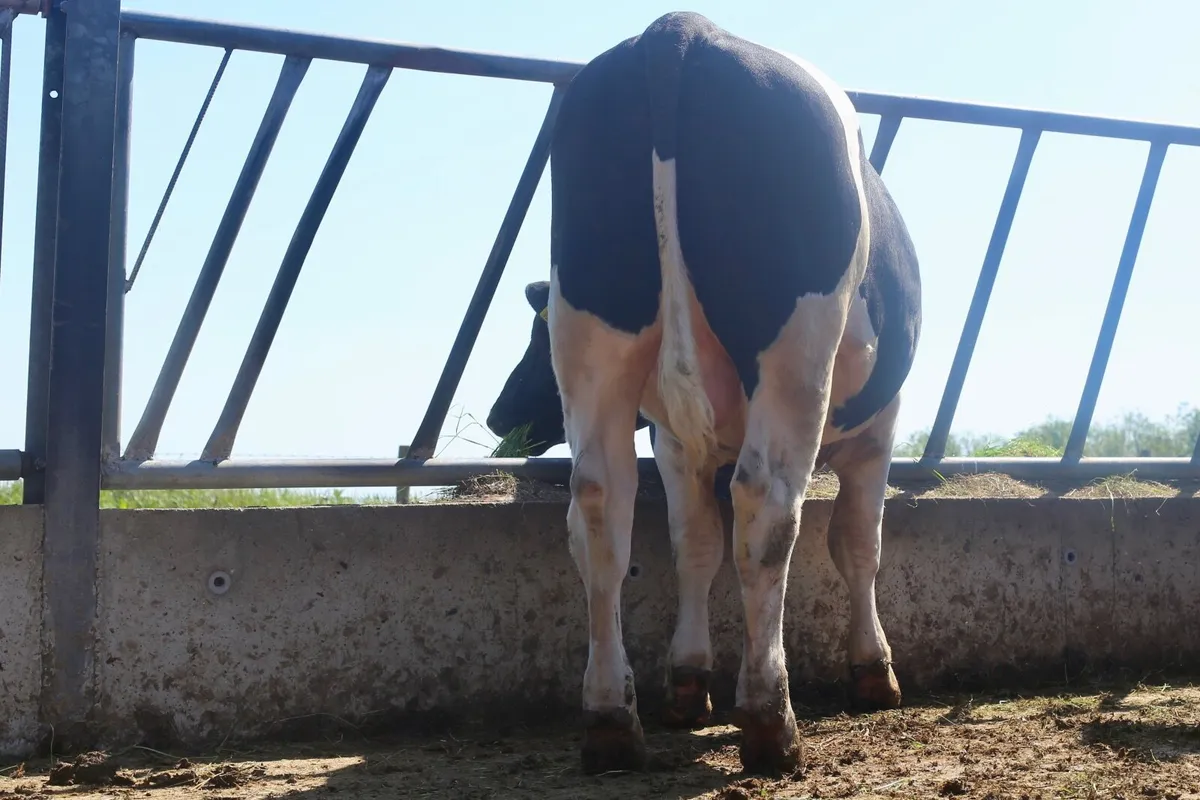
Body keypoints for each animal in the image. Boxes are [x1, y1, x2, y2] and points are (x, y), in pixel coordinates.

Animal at [486, 11, 921, 776]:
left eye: (532, 339)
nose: (496, 416)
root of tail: (681, 29)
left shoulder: (671, 440)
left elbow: (693, 544)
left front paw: (687, 682)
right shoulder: (880, 429)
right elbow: (857, 542)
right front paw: (873, 670)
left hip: (596, 328)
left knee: (599, 507)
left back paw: (610, 721)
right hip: (794, 346)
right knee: (767, 507)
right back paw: (771, 721)